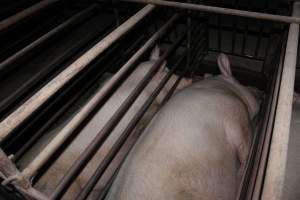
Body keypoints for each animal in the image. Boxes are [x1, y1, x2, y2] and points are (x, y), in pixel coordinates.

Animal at [106, 53, 260, 200]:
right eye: (243, 84)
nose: (258, 96)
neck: (226, 89)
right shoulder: (236, 115)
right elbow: (244, 145)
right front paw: (242, 171)